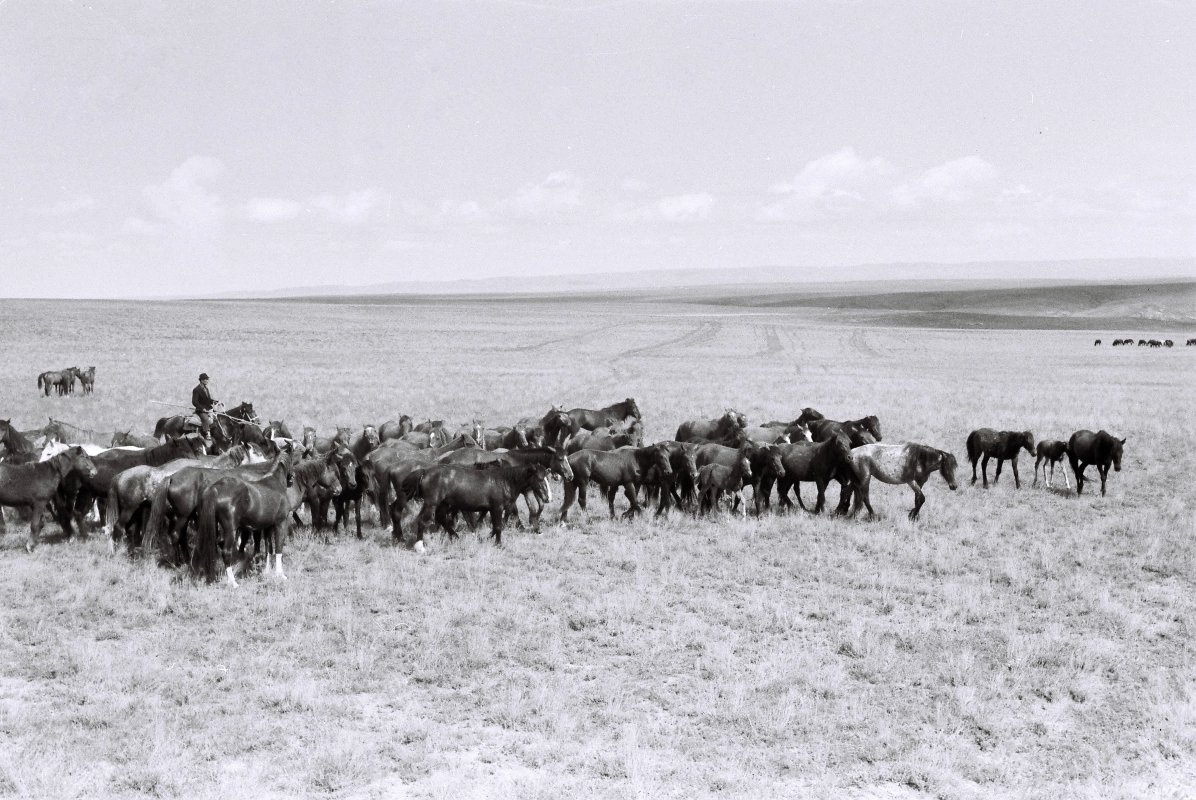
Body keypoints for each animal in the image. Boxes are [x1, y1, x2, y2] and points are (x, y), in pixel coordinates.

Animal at [197, 452, 295, 583]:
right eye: (292, 460)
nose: (292, 478)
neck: (275, 483)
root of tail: (216, 487)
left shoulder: (267, 527)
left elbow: (269, 548)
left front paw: (267, 572)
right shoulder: (281, 523)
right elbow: (279, 547)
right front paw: (280, 574)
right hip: (231, 530)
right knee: (226, 552)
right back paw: (233, 583)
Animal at [416, 461, 550, 550]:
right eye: (540, 478)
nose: (547, 498)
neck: (504, 481)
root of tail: (425, 472)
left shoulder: (491, 509)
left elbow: (494, 527)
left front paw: (485, 538)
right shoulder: (497, 508)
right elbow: (498, 527)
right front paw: (498, 544)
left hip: (444, 504)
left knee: (441, 518)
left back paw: (456, 537)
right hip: (431, 504)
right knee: (422, 521)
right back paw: (420, 546)